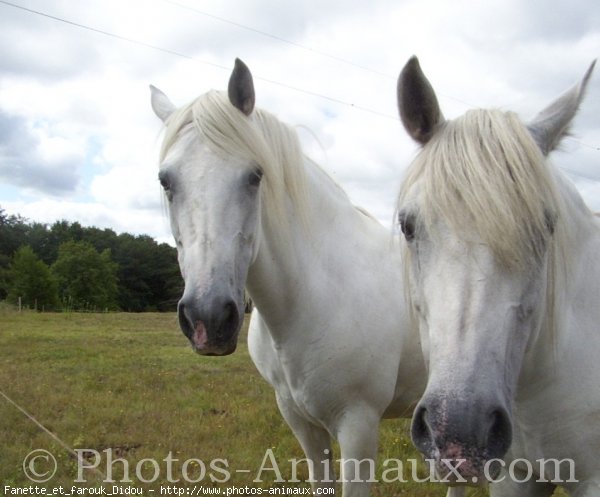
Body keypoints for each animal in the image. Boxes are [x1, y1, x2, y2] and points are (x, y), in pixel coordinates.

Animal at [152, 59, 424, 496]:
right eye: (166, 180)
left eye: (254, 175)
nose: (208, 319)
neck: (316, 296)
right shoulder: (302, 424)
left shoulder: (359, 427)